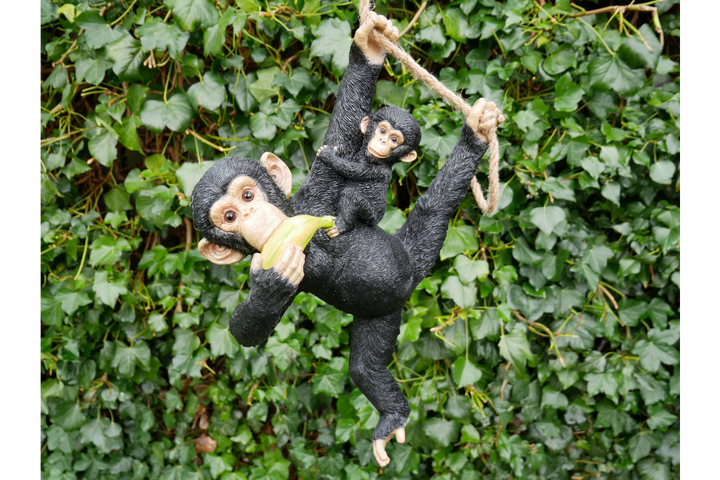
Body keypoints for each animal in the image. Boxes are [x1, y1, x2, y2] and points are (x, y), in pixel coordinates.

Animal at [314, 106, 421, 237]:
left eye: (394, 139)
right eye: (382, 131)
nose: (382, 140)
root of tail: (376, 221)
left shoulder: (377, 170)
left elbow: (350, 169)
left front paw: (328, 155)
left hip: (370, 215)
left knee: (351, 195)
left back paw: (341, 226)